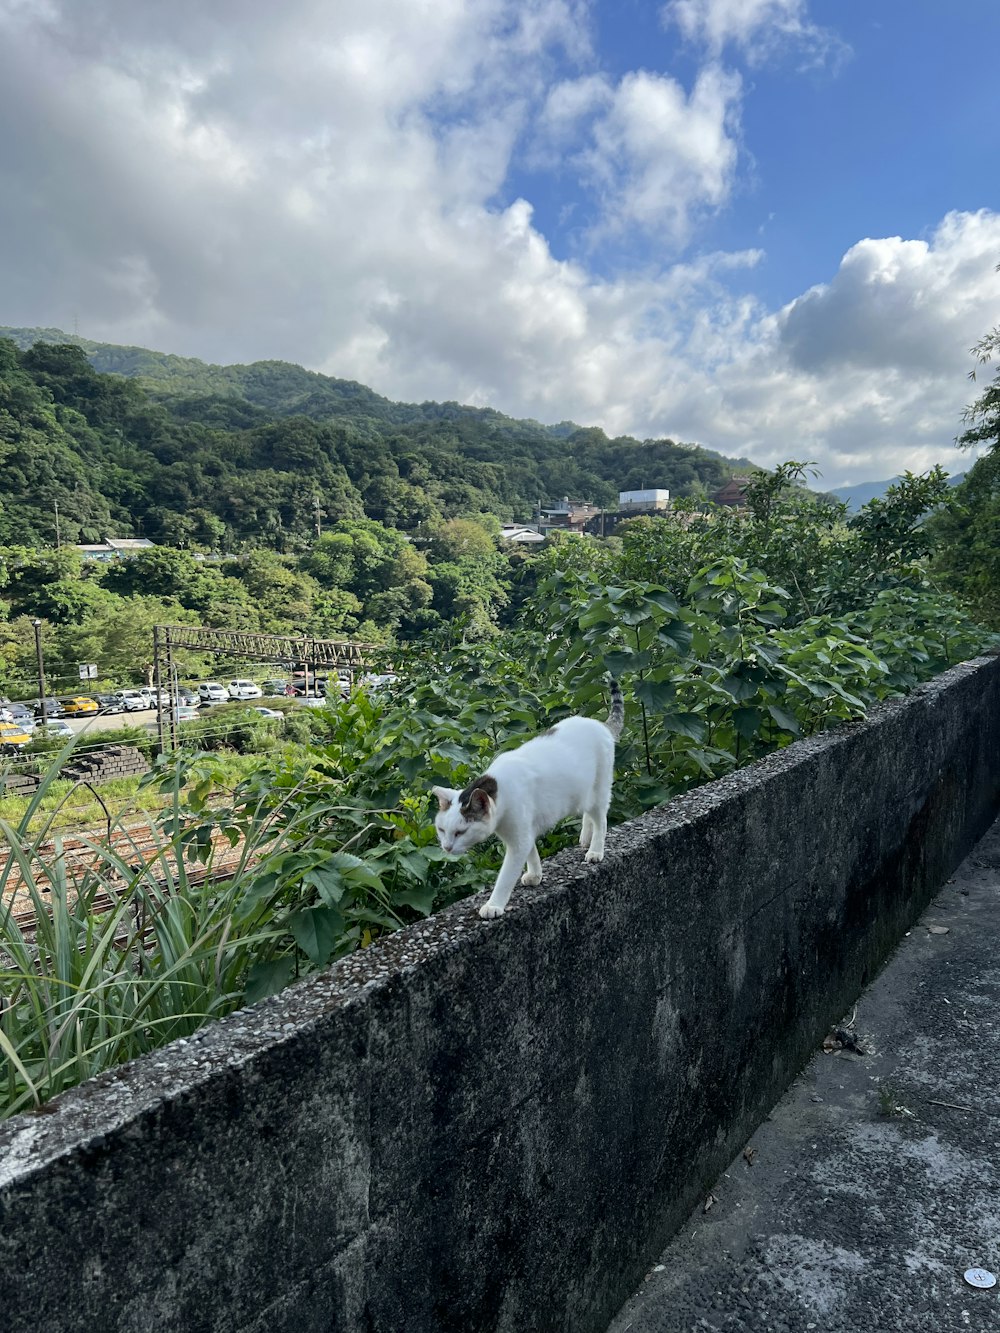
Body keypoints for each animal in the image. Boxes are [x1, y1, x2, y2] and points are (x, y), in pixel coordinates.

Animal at [432, 677, 626, 917]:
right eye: (441, 830)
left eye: (461, 832)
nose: (447, 848)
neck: (501, 790)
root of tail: (600, 725)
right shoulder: (525, 831)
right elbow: (532, 853)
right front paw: (535, 875)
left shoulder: (519, 839)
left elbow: (506, 876)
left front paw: (493, 905)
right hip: (582, 794)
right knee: (587, 815)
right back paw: (585, 837)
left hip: (599, 790)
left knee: (601, 820)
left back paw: (595, 850)